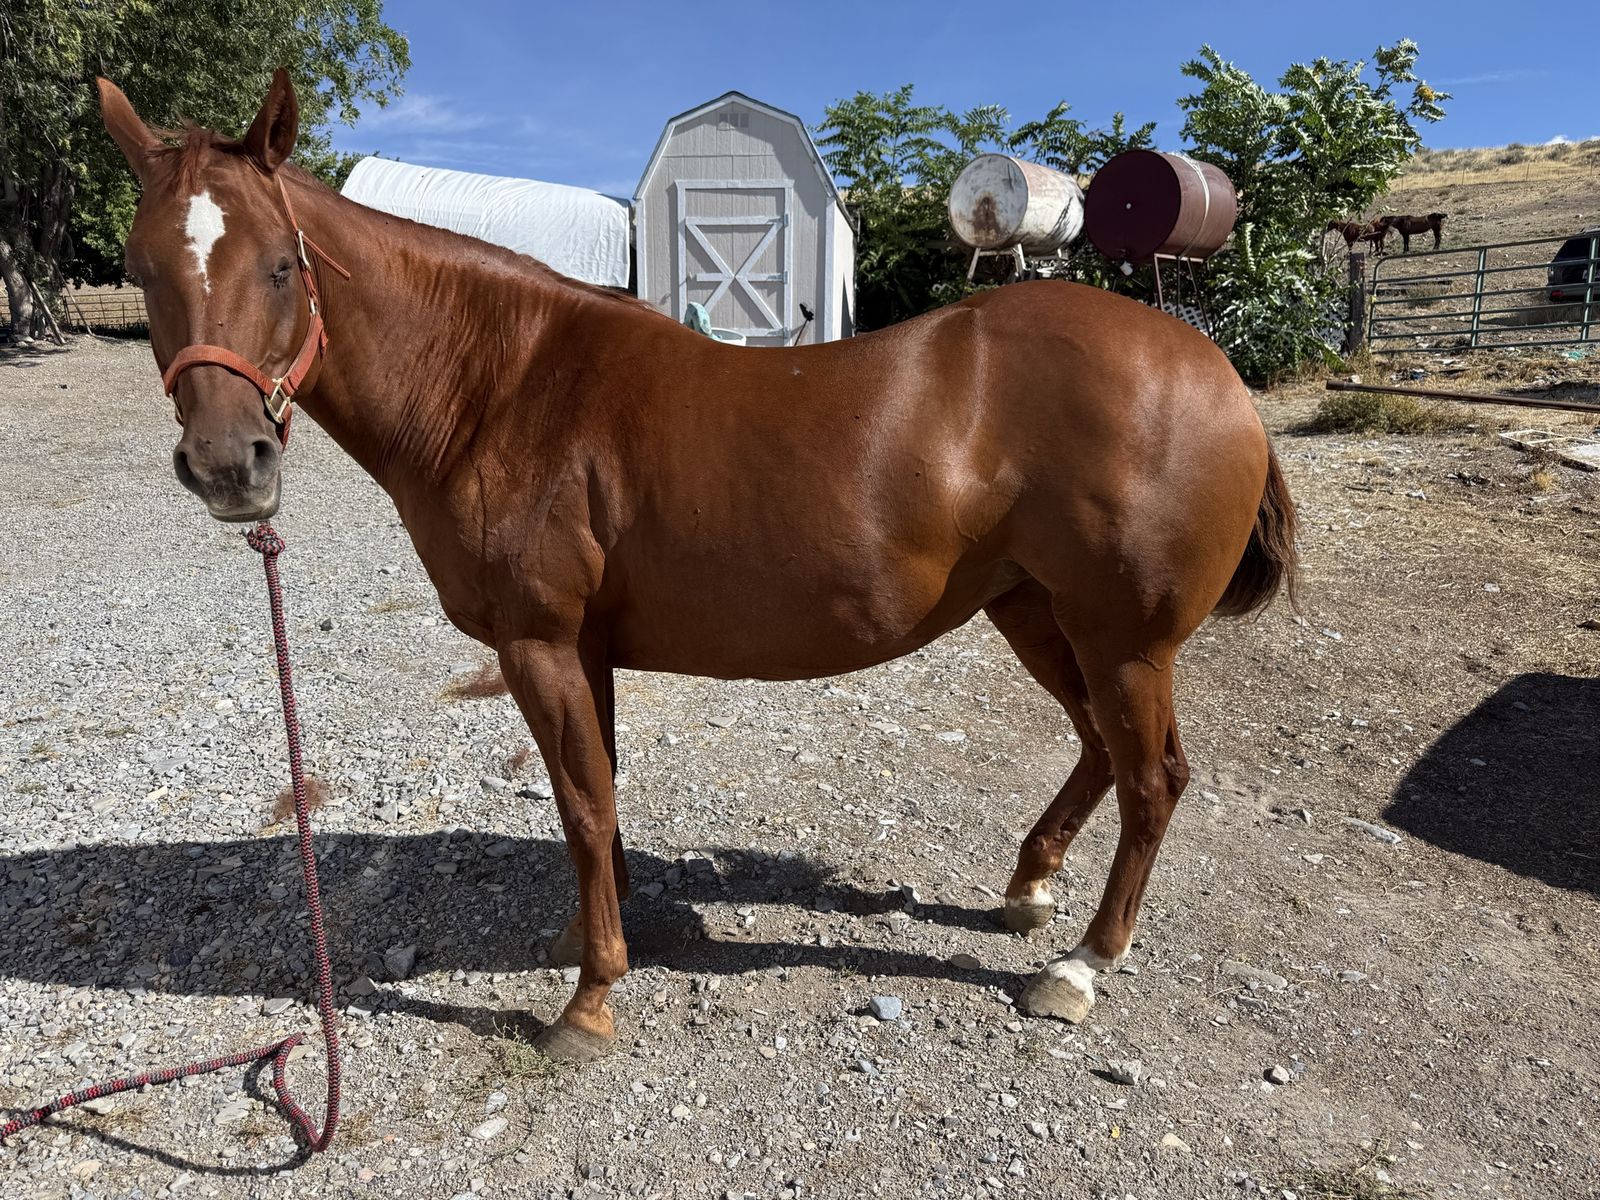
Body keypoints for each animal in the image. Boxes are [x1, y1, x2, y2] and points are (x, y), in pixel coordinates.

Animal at [97, 72, 1298, 1062]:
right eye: (143, 271)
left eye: (281, 265)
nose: (228, 465)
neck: (503, 384)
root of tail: (1210, 370)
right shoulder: (583, 648)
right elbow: (594, 799)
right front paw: (593, 933)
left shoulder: (538, 644)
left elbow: (582, 805)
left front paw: (589, 1000)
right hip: (1037, 616)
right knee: (1100, 751)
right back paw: (1030, 888)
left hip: (1120, 638)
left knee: (1153, 780)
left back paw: (1080, 967)